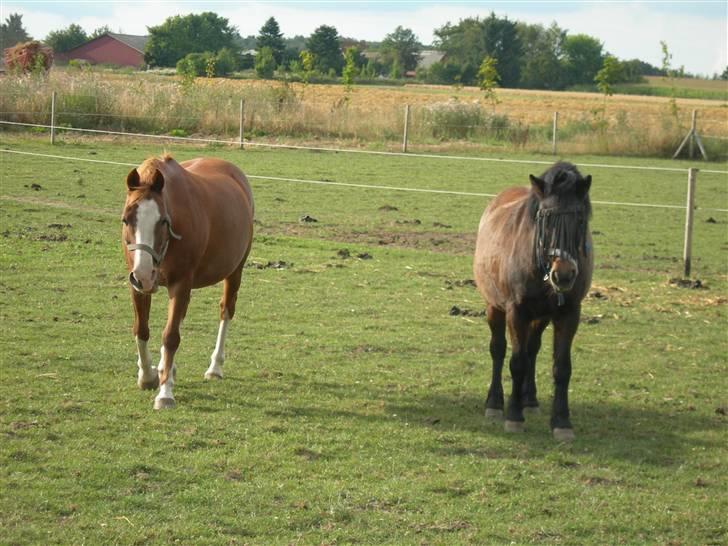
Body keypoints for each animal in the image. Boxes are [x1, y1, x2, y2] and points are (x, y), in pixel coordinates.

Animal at [120, 153, 253, 408]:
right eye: (126, 220)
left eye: (163, 221)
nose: (144, 274)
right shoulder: (137, 285)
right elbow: (141, 329)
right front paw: (148, 376)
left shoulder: (180, 283)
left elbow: (171, 337)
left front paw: (165, 394)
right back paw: (167, 369)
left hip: (235, 271)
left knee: (226, 311)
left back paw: (214, 368)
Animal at [474, 160, 596, 438]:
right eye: (546, 218)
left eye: (580, 219)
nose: (563, 274)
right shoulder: (516, 311)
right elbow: (516, 362)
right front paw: (513, 416)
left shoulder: (569, 313)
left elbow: (561, 367)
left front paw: (561, 422)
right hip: (494, 307)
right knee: (498, 350)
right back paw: (495, 403)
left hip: (541, 317)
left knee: (532, 350)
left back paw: (529, 400)